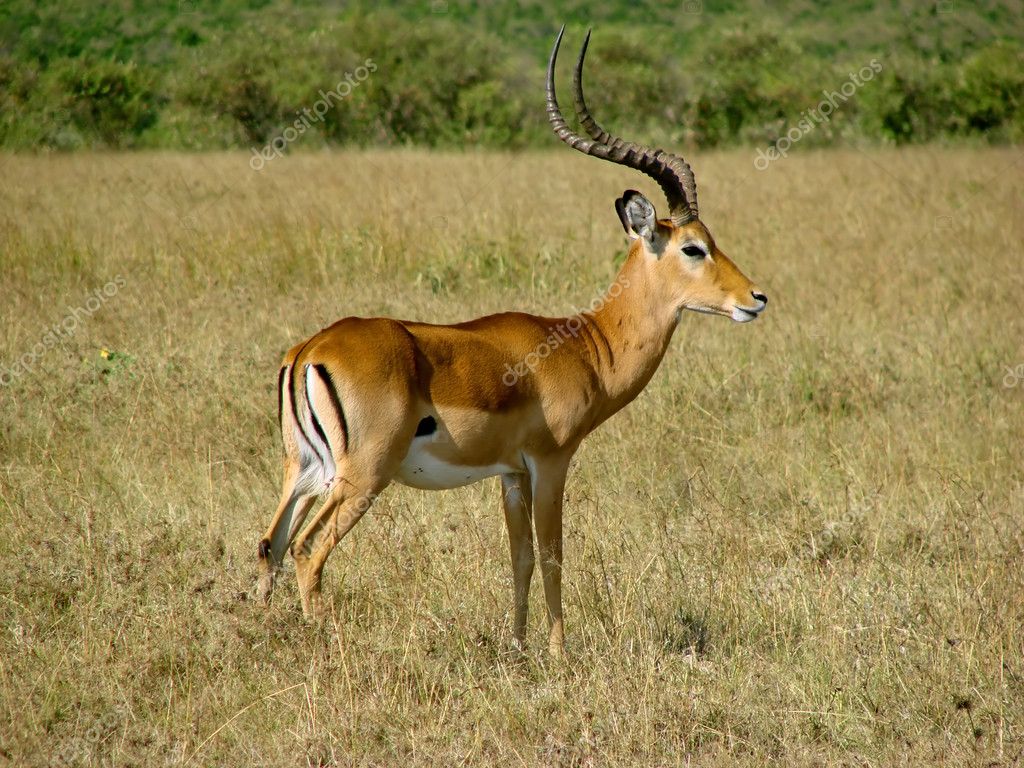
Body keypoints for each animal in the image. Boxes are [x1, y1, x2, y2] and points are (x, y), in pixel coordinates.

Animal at [256, 27, 770, 659]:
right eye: (693, 247)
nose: (756, 298)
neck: (584, 346)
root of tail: (312, 350)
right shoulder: (550, 462)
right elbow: (552, 557)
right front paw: (558, 653)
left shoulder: (510, 475)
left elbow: (519, 558)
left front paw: (521, 648)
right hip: (362, 475)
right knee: (308, 550)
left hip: (304, 470)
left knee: (271, 545)